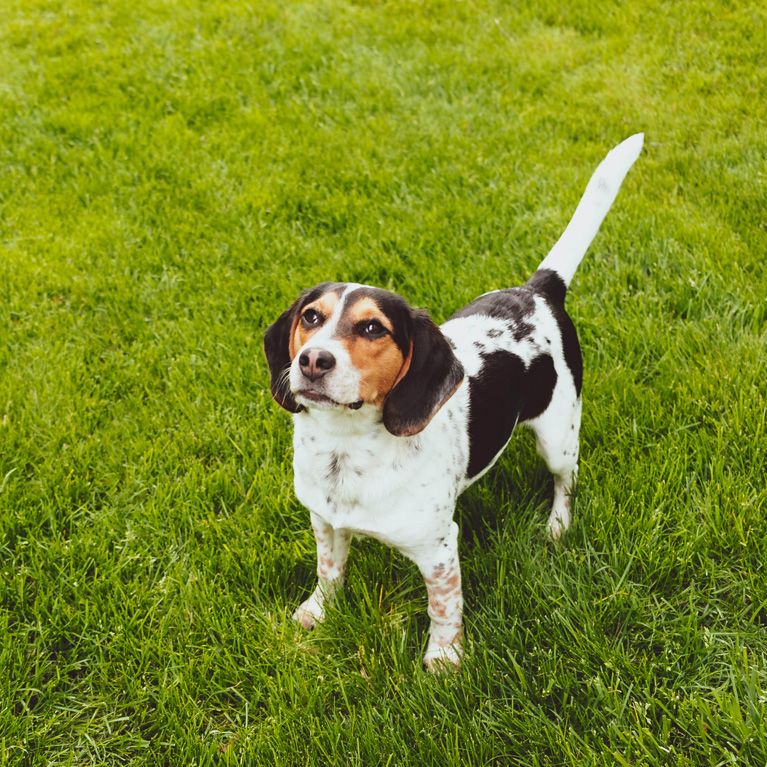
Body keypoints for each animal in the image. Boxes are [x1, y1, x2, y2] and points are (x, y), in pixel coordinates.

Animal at [262, 134, 640, 672]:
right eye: (311, 317)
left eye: (372, 327)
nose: (313, 360)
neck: (347, 448)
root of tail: (537, 290)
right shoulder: (324, 521)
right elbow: (329, 569)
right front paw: (318, 611)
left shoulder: (439, 549)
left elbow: (443, 606)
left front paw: (444, 659)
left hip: (559, 437)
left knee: (565, 483)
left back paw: (557, 526)